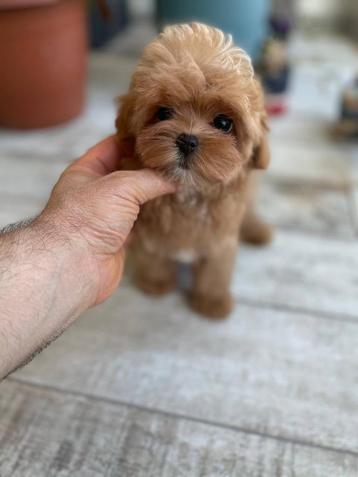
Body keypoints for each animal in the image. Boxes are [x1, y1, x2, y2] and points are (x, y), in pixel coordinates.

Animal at [117, 23, 272, 320]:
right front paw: (155, 282)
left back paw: (257, 229)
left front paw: (212, 301)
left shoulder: (221, 242)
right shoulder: (147, 231)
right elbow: (153, 254)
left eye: (223, 123)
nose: (187, 140)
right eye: (163, 112)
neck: (189, 193)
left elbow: (215, 272)